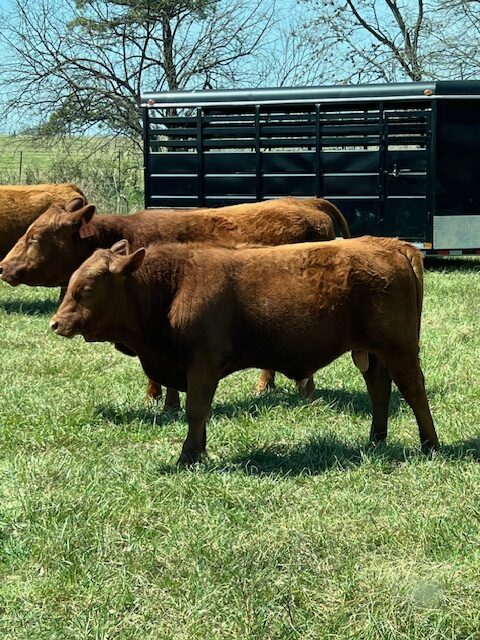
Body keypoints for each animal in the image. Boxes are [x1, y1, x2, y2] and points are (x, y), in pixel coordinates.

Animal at [50, 236, 439, 465]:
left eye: (85, 289)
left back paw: (430, 445)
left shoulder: (202, 364)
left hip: (399, 348)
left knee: (413, 390)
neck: (173, 285)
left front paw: (187, 458)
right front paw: (199, 450)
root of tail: (392, 244)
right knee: (380, 390)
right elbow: (200, 413)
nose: (56, 323)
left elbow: (195, 410)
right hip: (371, 353)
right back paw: (376, 441)